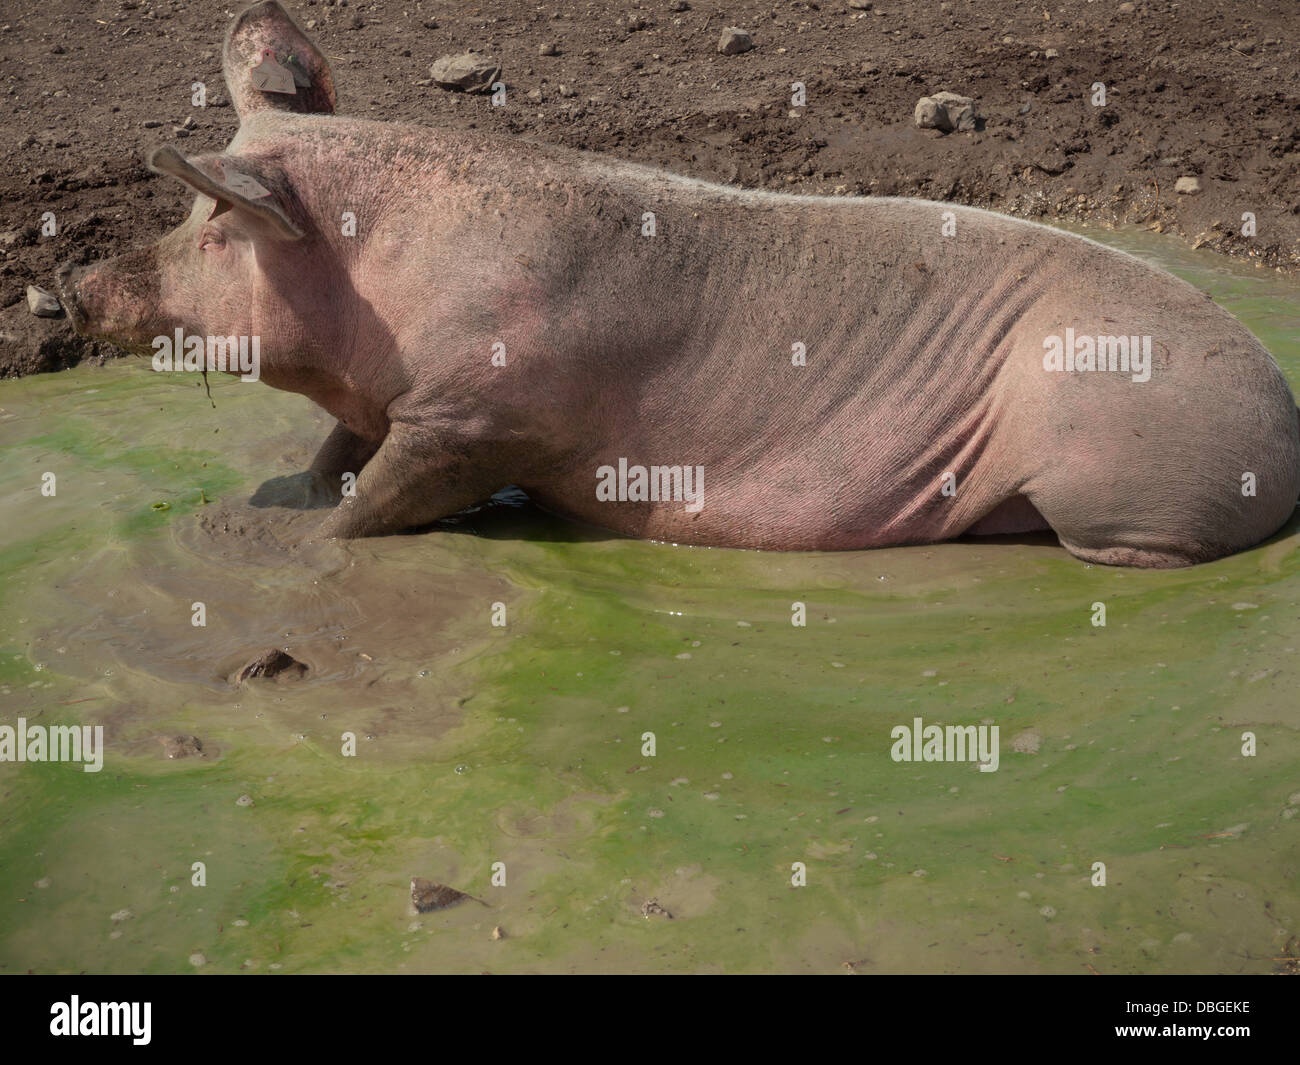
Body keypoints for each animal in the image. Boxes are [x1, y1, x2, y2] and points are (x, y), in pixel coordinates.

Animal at [58, 0, 1300, 566]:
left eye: (213, 227)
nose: (71, 282)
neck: (393, 283)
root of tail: (1282, 417)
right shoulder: (393, 399)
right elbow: (334, 455)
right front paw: (280, 502)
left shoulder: (481, 416)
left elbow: (380, 500)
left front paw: (298, 549)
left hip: (1113, 474)